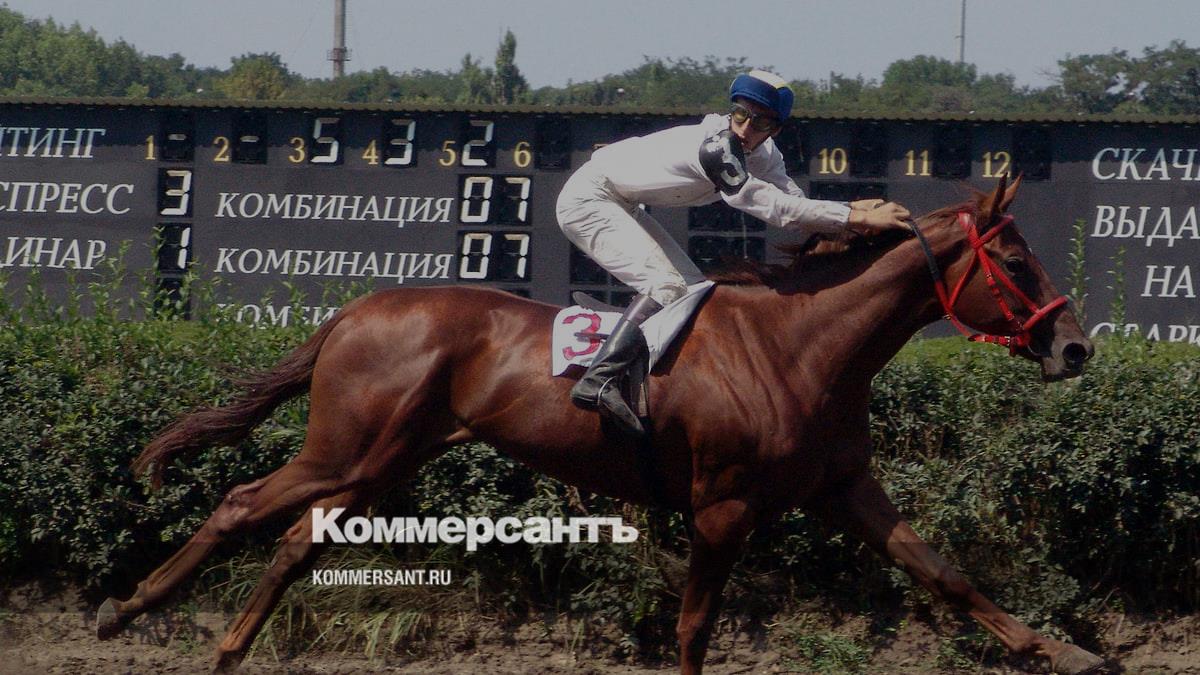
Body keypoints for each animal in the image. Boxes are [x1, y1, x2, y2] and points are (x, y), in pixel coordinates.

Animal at [95, 175, 1104, 674]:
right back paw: (127, 607)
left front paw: (1064, 650)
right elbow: (694, 628)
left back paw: (225, 647)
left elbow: (944, 572)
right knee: (242, 503)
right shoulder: (724, 507)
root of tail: (355, 309)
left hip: (383, 461)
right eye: (1017, 259)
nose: (1076, 347)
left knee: (296, 540)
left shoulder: (844, 486)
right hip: (346, 446)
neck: (800, 345)